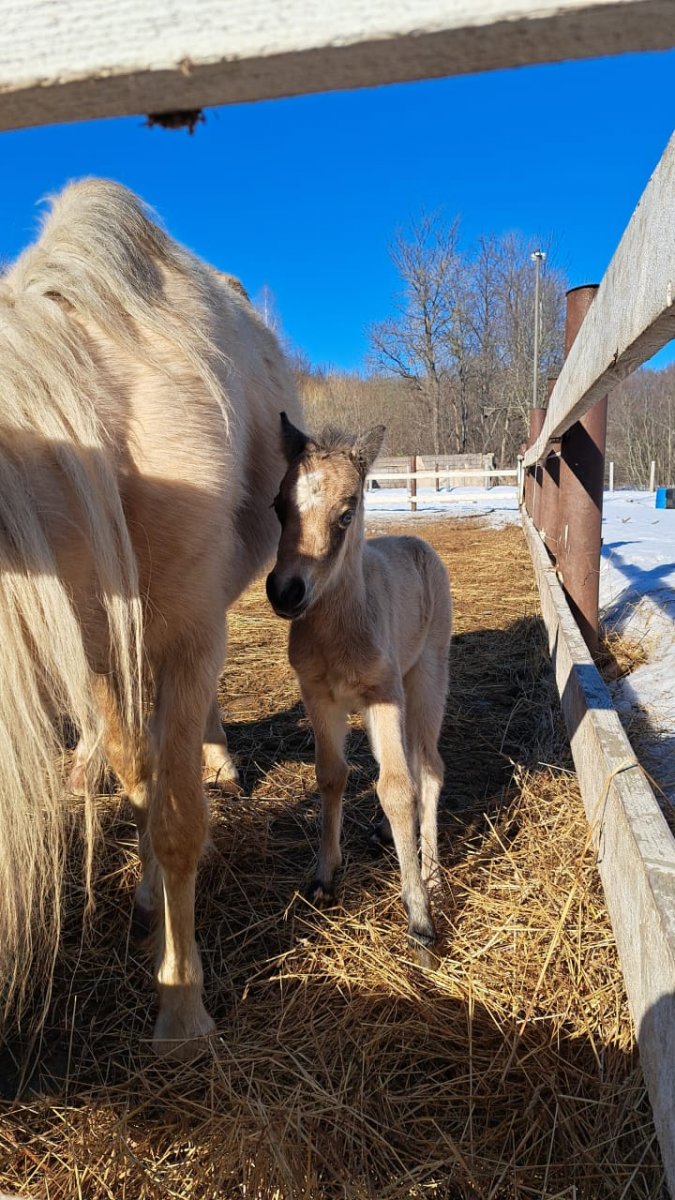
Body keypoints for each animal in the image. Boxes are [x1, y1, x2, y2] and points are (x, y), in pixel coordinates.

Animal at [0, 179, 301, 1057]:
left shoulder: (189, 635)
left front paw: (182, 1008)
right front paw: (146, 905)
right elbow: (137, 784)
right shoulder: (97, 646)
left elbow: (176, 820)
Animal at [266, 414, 452, 946]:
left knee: (427, 767)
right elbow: (332, 776)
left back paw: (431, 872)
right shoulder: (319, 697)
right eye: (278, 506)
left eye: (347, 514)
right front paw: (325, 878)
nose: (285, 592)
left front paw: (420, 917)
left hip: (425, 677)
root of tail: (416, 542)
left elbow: (397, 788)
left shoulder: (385, 694)